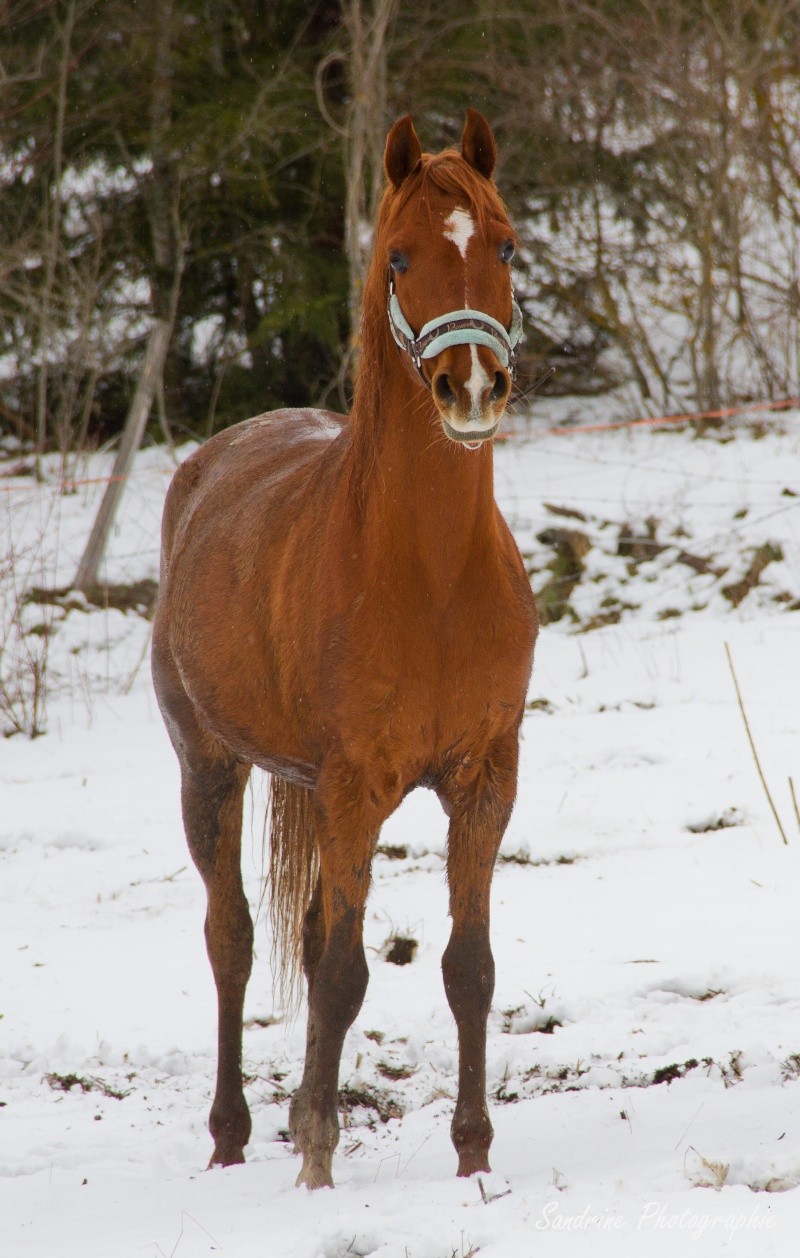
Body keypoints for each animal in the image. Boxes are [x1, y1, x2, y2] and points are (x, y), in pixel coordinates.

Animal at [149, 108, 538, 1187]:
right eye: (400, 257)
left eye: (502, 246)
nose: (471, 387)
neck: (430, 574)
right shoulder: (356, 786)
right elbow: (338, 973)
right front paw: (319, 1156)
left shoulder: (484, 779)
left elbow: (467, 966)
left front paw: (473, 1159)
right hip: (210, 767)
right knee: (234, 939)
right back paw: (234, 1134)